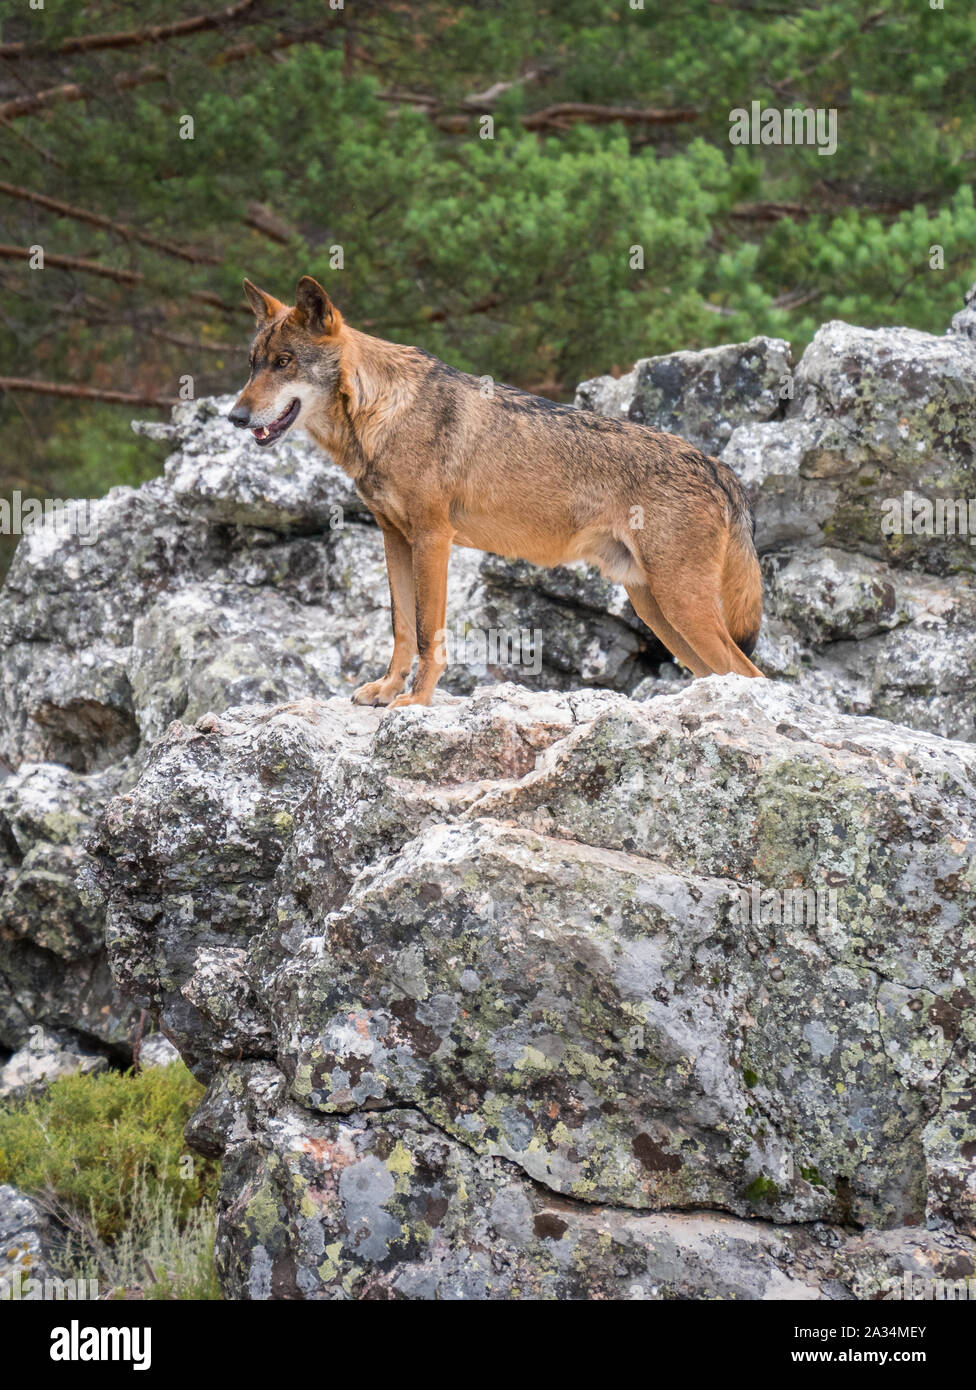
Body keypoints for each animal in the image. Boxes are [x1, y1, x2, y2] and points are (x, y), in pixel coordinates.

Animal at [229, 276, 763, 707]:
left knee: (751, 674)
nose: (234, 416)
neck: (382, 413)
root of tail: (718, 467)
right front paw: (386, 690)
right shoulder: (394, 538)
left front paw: (415, 702)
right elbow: (401, 627)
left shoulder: (433, 539)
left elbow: (426, 633)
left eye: (284, 362)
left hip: (681, 608)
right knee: (727, 674)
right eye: (253, 365)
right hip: (658, 612)